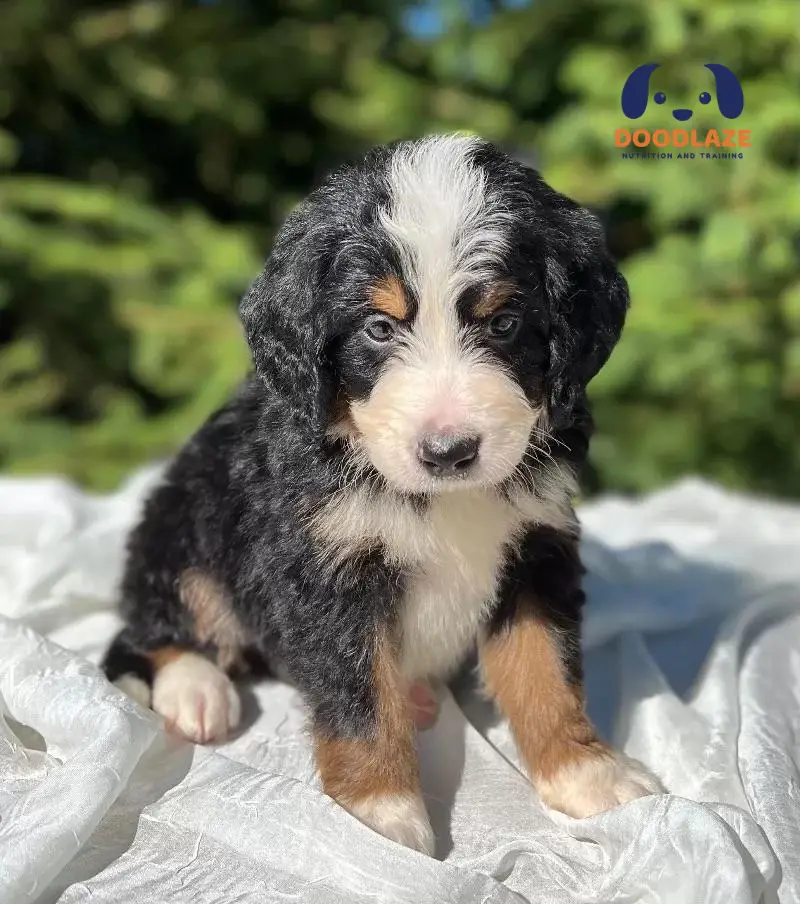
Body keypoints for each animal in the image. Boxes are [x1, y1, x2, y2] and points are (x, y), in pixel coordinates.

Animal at [103, 134, 664, 856]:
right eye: (378, 328)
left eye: (505, 323)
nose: (449, 451)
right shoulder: (328, 568)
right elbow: (361, 697)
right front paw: (380, 816)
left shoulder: (535, 547)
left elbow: (547, 672)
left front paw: (587, 773)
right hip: (182, 519)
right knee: (150, 622)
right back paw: (195, 690)